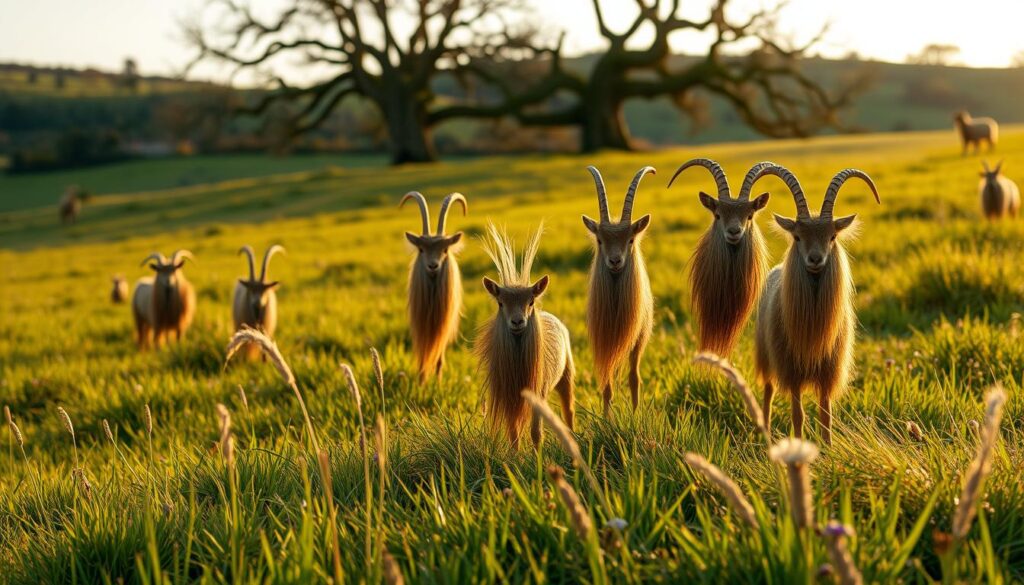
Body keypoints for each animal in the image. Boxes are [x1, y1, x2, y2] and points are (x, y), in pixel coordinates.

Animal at [401, 191, 467, 382]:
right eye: (421, 249)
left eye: (445, 250)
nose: (433, 266)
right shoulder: (420, 325)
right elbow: (423, 356)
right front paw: (421, 384)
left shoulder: (444, 325)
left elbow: (439, 358)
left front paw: (437, 384)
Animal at [475, 223, 575, 449]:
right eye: (500, 303)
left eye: (530, 302)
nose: (517, 322)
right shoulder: (509, 394)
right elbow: (513, 433)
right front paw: (515, 456)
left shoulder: (539, 392)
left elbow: (536, 432)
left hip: (566, 374)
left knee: (569, 409)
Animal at [582, 166, 655, 418]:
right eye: (600, 240)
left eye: (630, 239)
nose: (615, 261)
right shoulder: (603, 338)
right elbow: (606, 381)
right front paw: (606, 420)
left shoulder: (638, 338)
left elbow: (634, 377)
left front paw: (635, 416)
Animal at [754, 166, 880, 446]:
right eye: (797, 237)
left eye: (832, 237)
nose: (815, 259)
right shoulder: (791, 369)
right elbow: (797, 414)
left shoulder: (828, 372)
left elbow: (825, 415)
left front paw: (829, 448)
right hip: (767, 356)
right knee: (768, 391)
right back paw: (765, 433)